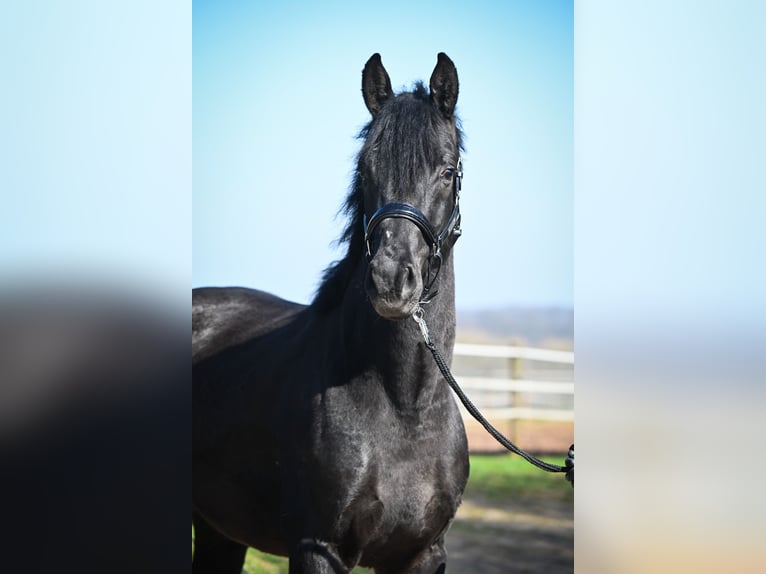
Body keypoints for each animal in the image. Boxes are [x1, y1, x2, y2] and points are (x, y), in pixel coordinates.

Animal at [193, 52, 469, 574]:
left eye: (447, 171)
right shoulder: (317, 547)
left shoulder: (423, 555)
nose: (390, 280)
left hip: (220, 529)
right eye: (365, 168)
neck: (405, 407)